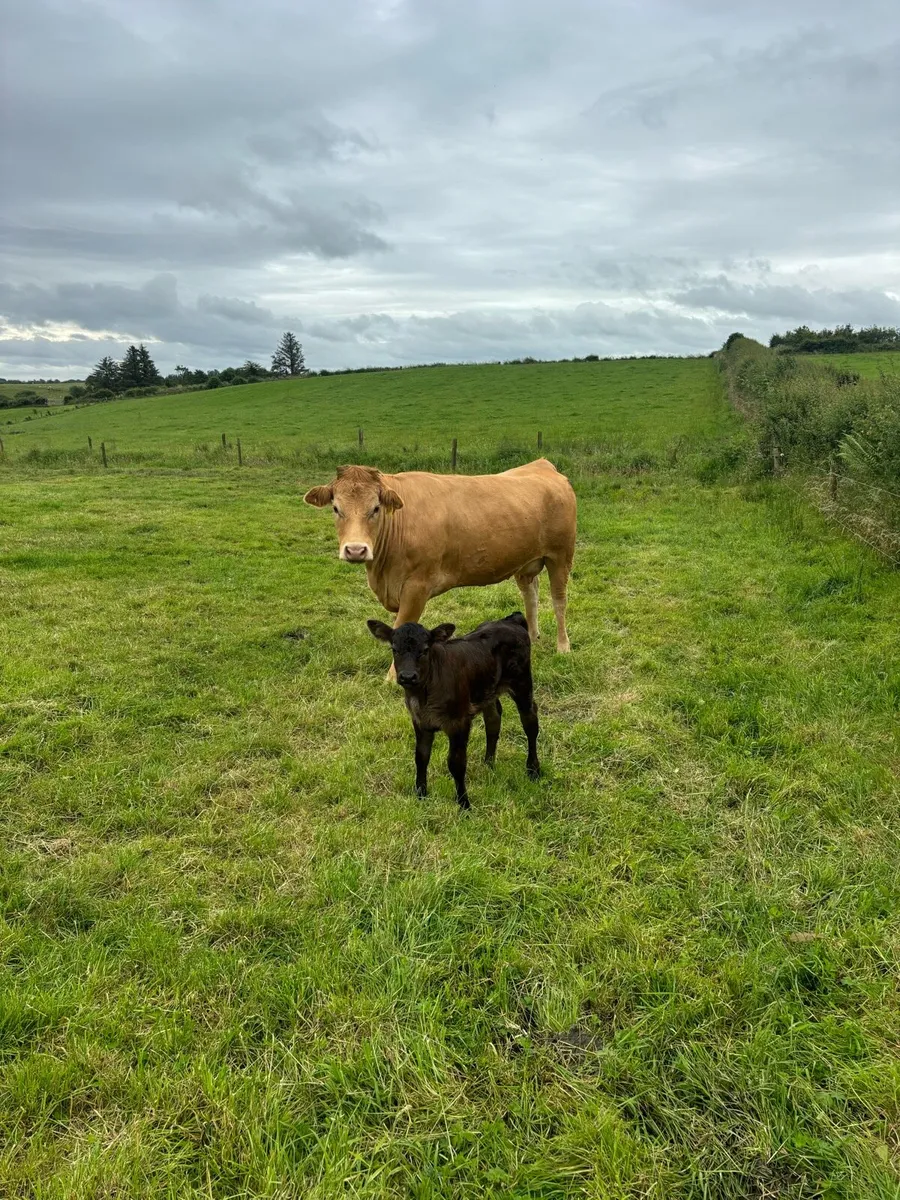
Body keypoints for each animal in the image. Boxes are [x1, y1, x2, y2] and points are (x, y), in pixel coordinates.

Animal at [304, 459, 576, 678]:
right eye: (336, 508)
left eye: (376, 508)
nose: (356, 550)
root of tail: (542, 465)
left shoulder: (417, 586)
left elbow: (403, 623)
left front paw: (392, 678)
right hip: (526, 561)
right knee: (531, 595)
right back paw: (532, 636)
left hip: (561, 556)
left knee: (559, 600)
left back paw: (563, 646)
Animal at [367, 612, 540, 809]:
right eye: (394, 649)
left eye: (425, 650)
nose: (408, 676)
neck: (424, 695)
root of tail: (511, 619)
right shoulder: (419, 721)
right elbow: (421, 757)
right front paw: (421, 795)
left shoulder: (459, 722)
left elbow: (456, 763)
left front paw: (464, 803)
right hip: (487, 690)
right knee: (493, 720)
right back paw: (488, 764)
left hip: (522, 683)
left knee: (530, 721)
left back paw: (533, 769)